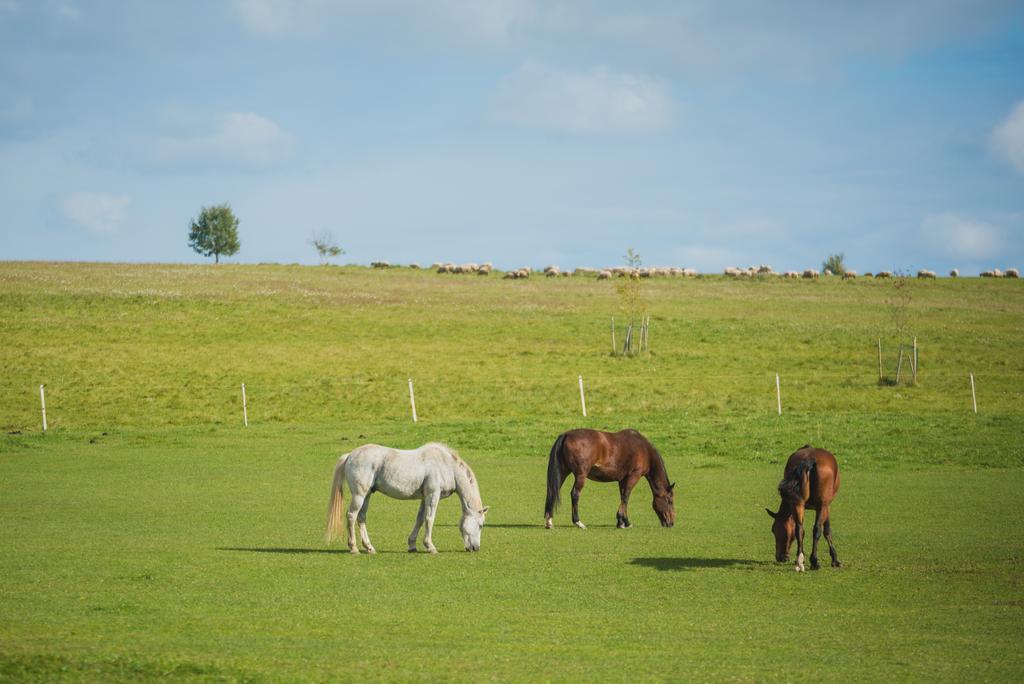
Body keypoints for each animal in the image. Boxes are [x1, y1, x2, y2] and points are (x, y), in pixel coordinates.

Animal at [325, 444, 489, 557]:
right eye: (480, 525)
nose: (476, 548)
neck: (446, 465)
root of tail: (350, 455)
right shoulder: (433, 495)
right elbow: (430, 519)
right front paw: (430, 546)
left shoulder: (425, 497)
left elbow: (420, 519)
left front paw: (412, 545)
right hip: (359, 495)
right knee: (351, 516)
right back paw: (353, 548)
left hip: (367, 495)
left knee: (361, 517)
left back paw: (369, 547)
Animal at [540, 430, 675, 532]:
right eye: (670, 501)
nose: (671, 523)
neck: (644, 450)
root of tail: (566, 434)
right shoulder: (633, 476)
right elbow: (626, 497)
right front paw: (624, 522)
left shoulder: (622, 480)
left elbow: (623, 498)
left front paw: (621, 521)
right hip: (580, 475)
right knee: (575, 494)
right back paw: (578, 522)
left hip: (563, 472)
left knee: (552, 492)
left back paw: (549, 522)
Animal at [765, 444, 843, 573]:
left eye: (773, 529)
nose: (781, 558)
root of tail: (810, 459)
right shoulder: (826, 506)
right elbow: (827, 530)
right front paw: (835, 559)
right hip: (821, 505)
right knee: (816, 530)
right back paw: (814, 561)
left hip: (799, 504)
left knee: (799, 529)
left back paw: (799, 562)